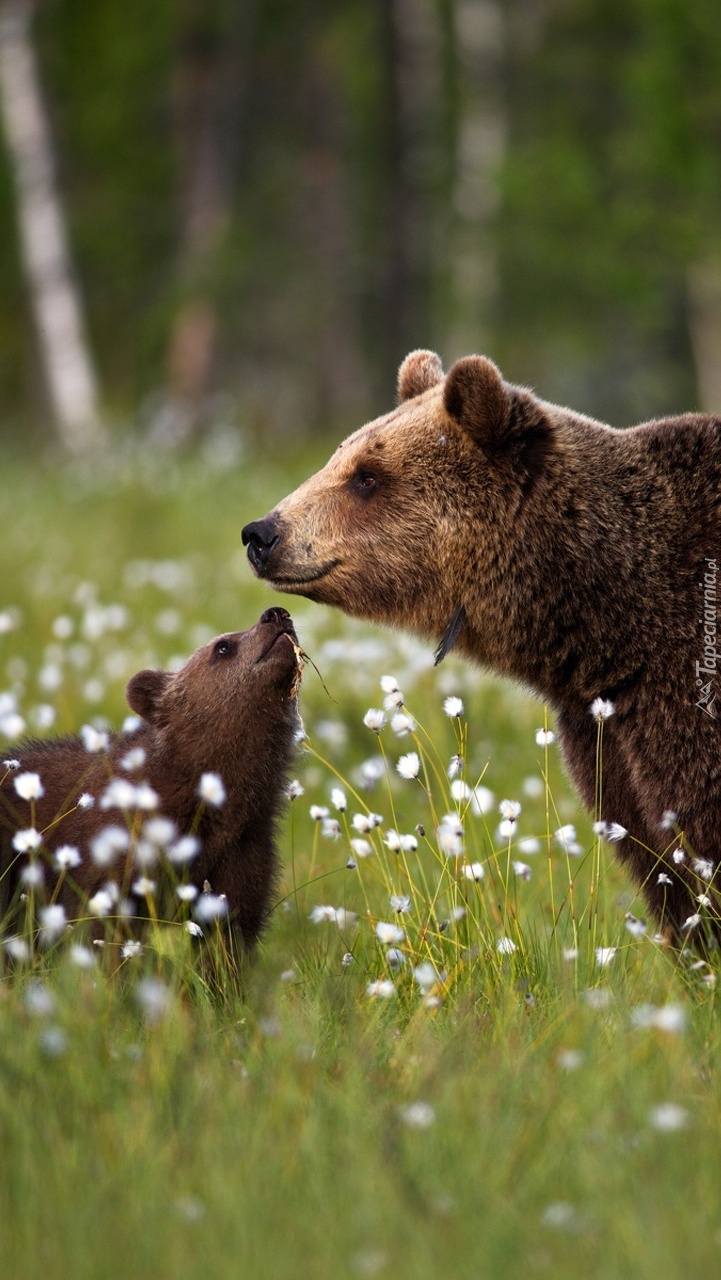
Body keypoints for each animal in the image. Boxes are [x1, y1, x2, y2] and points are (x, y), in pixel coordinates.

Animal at [245, 350, 721, 942]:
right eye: (340, 457)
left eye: (367, 477)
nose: (261, 534)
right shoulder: (607, 737)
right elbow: (660, 862)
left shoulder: (682, 696)